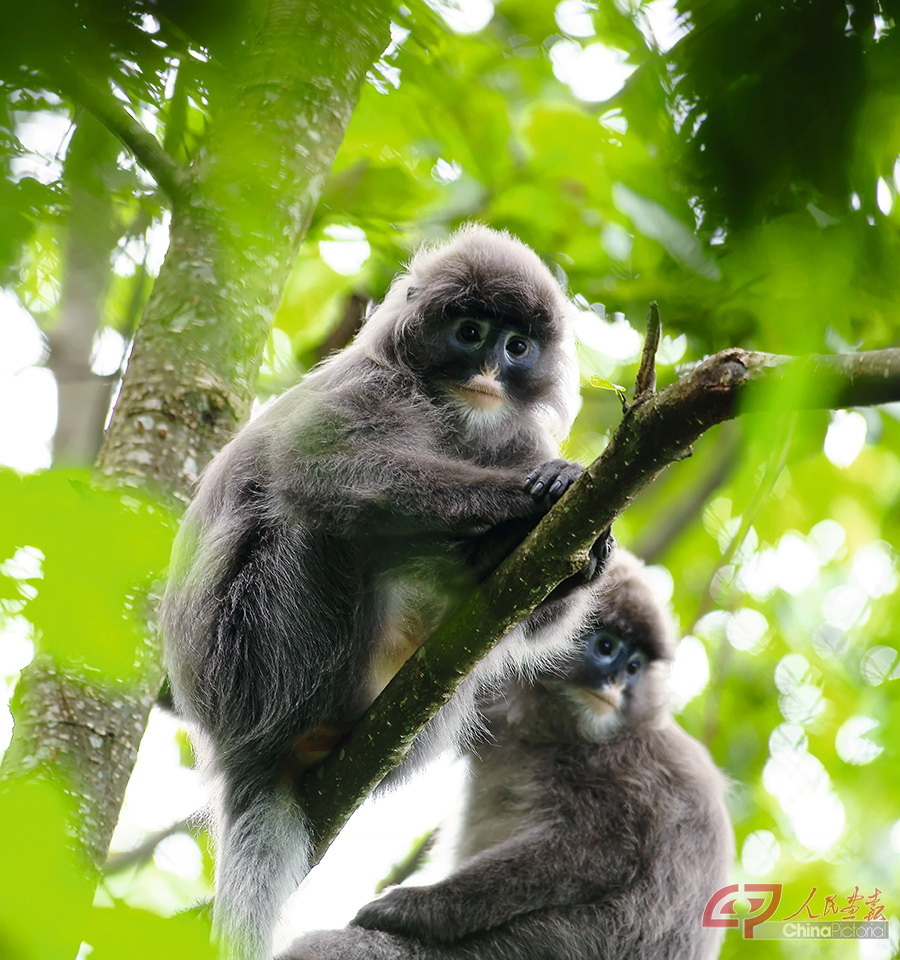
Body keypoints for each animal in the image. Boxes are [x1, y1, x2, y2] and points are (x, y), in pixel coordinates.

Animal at [159, 227, 608, 960]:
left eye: (517, 347)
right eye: (470, 332)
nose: (489, 373)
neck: (456, 416)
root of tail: (233, 746)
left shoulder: (518, 433)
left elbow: (540, 611)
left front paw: (580, 555)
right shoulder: (374, 384)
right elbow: (324, 468)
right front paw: (527, 500)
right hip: (267, 650)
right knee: (319, 519)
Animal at [284, 548, 736, 960]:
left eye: (635, 667)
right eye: (607, 647)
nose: (616, 685)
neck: (550, 736)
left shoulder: (629, 766)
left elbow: (603, 849)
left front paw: (416, 906)